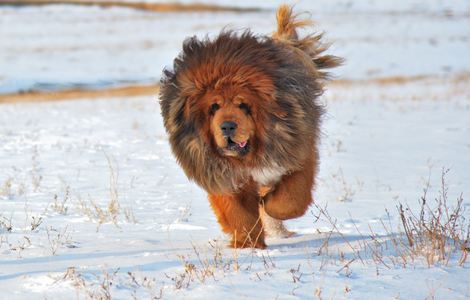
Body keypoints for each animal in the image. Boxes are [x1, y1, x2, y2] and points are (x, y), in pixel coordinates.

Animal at [160, 4, 340, 248]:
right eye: (214, 107)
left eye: (243, 105)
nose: (227, 126)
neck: (250, 156)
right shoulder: (221, 176)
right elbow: (239, 215)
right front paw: (248, 247)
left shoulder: (297, 154)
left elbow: (290, 199)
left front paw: (269, 206)